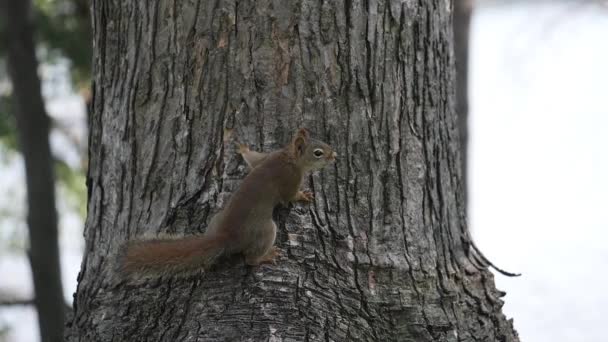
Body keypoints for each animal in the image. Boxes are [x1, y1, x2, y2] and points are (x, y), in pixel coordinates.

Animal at [119, 129, 338, 278]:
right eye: (318, 152)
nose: (335, 156)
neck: (289, 156)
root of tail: (226, 237)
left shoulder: (267, 156)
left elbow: (253, 160)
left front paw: (243, 149)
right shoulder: (289, 179)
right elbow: (289, 196)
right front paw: (304, 195)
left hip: (217, 218)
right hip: (266, 230)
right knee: (250, 259)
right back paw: (266, 256)